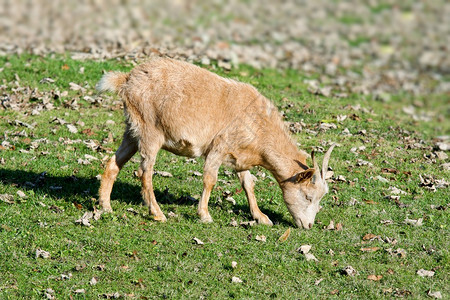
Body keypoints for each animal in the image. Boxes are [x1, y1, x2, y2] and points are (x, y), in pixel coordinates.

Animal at [96, 57, 334, 229]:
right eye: (308, 196)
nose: (308, 225)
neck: (260, 125)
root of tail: (126, 79)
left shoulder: (240, 155)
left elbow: (248, 184)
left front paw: (261, 217)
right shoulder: (218, 147)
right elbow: (210, 179)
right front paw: (205, 215)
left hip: (132, 131)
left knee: (113, 164)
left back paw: (106, 206)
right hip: (150, 130)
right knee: (144, 172)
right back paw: (157, 213)